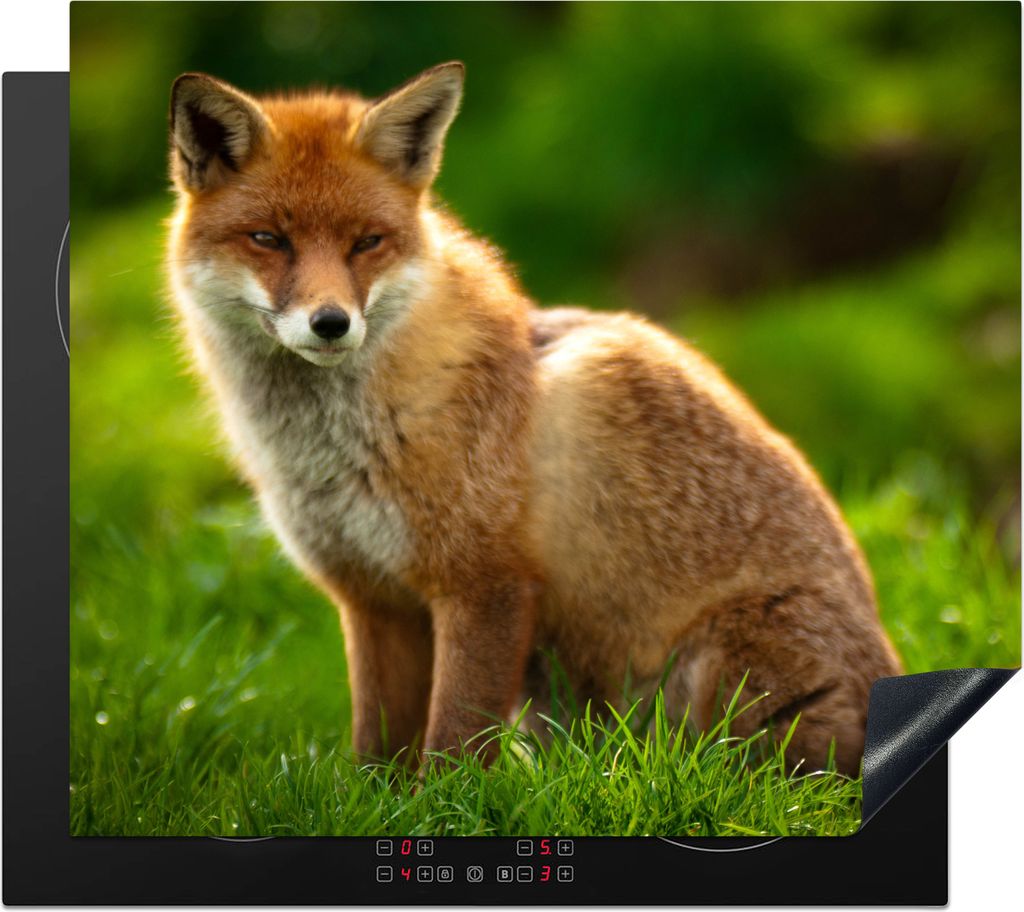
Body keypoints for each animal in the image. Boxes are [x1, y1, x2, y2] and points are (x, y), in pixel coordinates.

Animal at [166, 61, 902, 776]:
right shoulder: (371, 597)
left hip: (709, 679)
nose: (331, 323)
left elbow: (454, 745)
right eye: (268, 239)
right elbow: (376, 748)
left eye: (367, 243)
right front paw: (377, 797)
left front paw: (445, 802)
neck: (336, 448)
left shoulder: (486, 583)